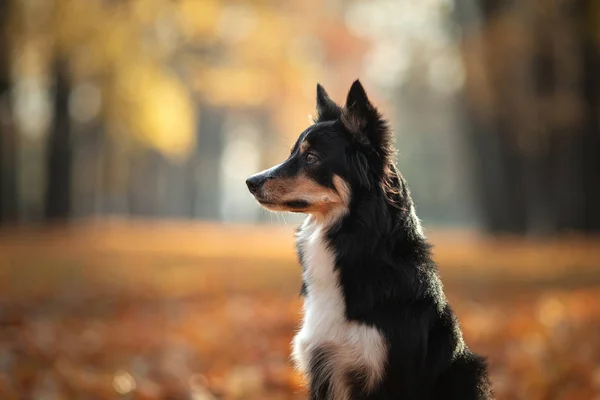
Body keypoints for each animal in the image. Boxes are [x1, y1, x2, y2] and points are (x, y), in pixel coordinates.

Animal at [245, 79, 492, 398]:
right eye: (292, 154)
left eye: (311, 157)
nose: (250, 182)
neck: (356, 241)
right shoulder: (322, 368)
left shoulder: (388, 374)